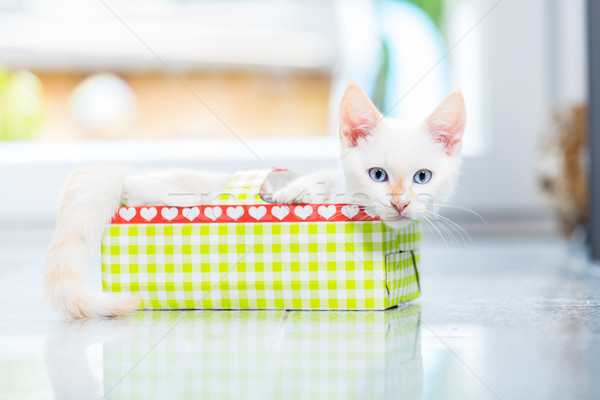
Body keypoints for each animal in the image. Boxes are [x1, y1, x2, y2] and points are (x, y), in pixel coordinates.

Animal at [43, 82, 464, 318]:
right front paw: (294, 192)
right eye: (378, 175)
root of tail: (120, 171)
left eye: (422, 177)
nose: (400, 203)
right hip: (162, 185)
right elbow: (311, 181)